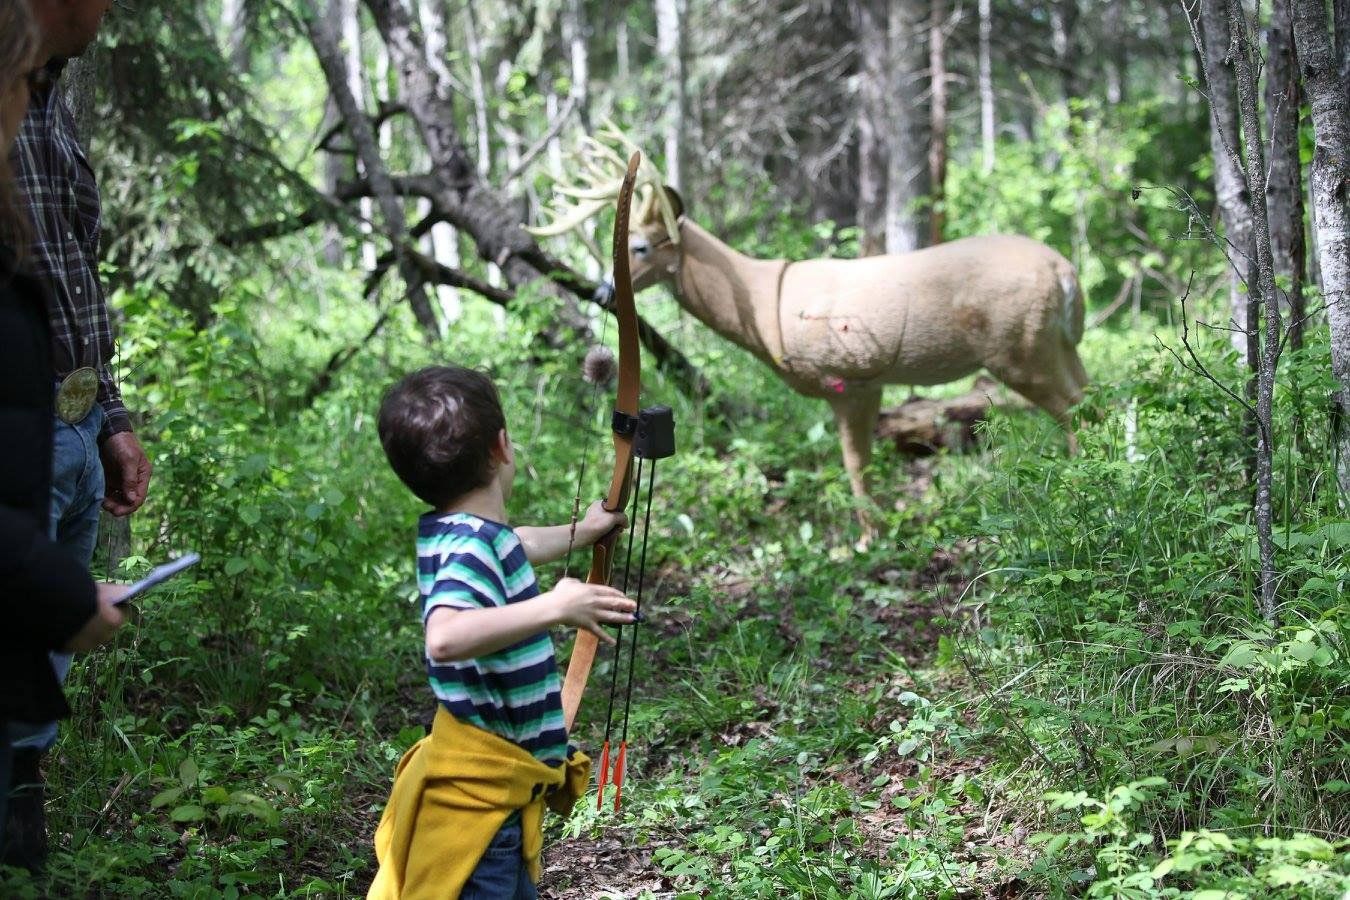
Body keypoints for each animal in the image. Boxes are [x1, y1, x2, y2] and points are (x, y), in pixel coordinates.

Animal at [531, 135, 1088, 544]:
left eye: (641, 246)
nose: (603, 291)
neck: (763, 305)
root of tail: (1064, 272)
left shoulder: (848, 377)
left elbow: (856, 464)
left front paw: (866, 541)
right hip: (1058, 343)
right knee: (1091, 398)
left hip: (1018, 348)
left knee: (1071, 409)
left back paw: (1084, 485)